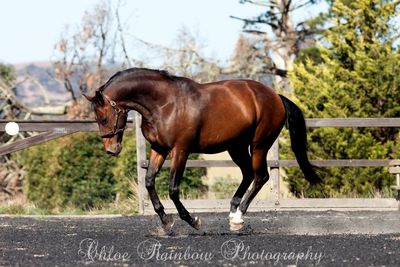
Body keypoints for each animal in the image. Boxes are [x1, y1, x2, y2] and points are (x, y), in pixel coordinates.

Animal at [84, 68, 322, 231]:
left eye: (103, 118)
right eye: (97, 119)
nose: (112, 149)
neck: (163, 104)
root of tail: (275, 96)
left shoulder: (180, 151)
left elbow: (173, 188)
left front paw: (193, 220)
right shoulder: (158, 149)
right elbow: (149, 181)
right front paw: (166, 221)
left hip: (259, 145)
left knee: (260, 176)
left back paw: (238, 217)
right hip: (236, 146)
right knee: (248, 174)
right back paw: (233, 212)